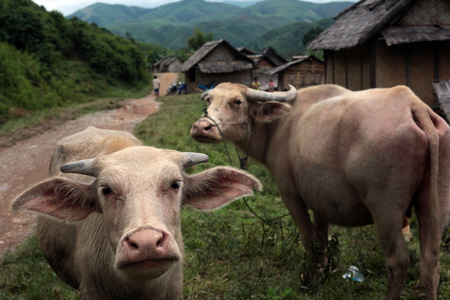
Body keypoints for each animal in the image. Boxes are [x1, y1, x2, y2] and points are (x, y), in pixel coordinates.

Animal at [190, 82, 450, 300]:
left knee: (398, 261)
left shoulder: (291, 194)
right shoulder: (321, 201)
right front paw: (324, 271)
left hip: (385, 208)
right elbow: (322, 238)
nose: (201, 127)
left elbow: (309, 239)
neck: (279, 127)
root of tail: (413, 105)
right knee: (430, 263)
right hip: (435, 204)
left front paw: (310, 277)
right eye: (209, 99)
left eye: (237, 101)